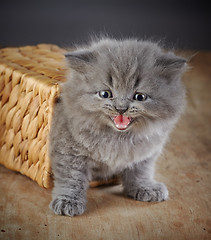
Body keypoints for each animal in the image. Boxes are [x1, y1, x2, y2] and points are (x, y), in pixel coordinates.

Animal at [49, 37, 186, 216]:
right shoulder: (68, 149)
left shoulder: (145, 153)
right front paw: (68, 201)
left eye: (139, 96)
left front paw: (145, 187)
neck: (118, 137)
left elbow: (140, 171)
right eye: (105, 94)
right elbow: (71, 178)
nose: (121, 108)